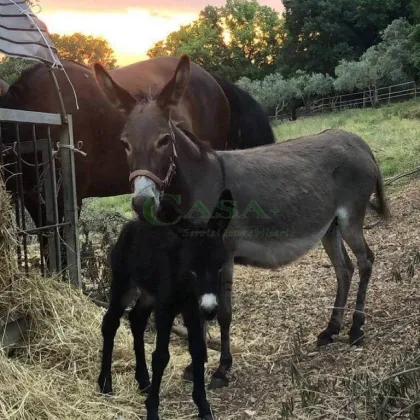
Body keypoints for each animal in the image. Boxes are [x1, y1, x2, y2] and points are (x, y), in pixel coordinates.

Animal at [98, 189, 233, 420]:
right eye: (192, 269)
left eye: (219, 266)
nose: (209, 310)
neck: (186, 286)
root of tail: (132, 224)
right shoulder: (166, 309)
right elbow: (161, 356)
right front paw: (152, 410)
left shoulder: (191, 310)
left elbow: (198, 351)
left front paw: (203, 407)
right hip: (124, 283)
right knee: (110, 323)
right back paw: (106, 383)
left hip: (149, 294)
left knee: (136, 318)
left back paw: (144, 380)